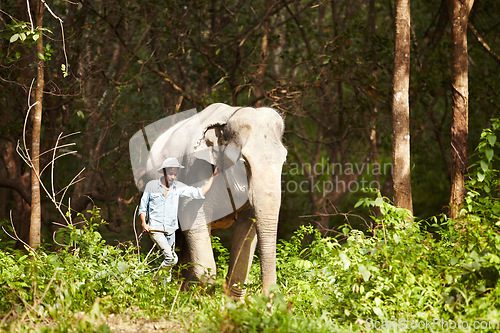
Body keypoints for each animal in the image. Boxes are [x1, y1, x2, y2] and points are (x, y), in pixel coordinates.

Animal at [143, 102, 288, 296]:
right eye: (244, 162)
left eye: (283, 161)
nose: (268, 297)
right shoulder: (196, 169)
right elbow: (193, 218)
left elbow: (247, 231)